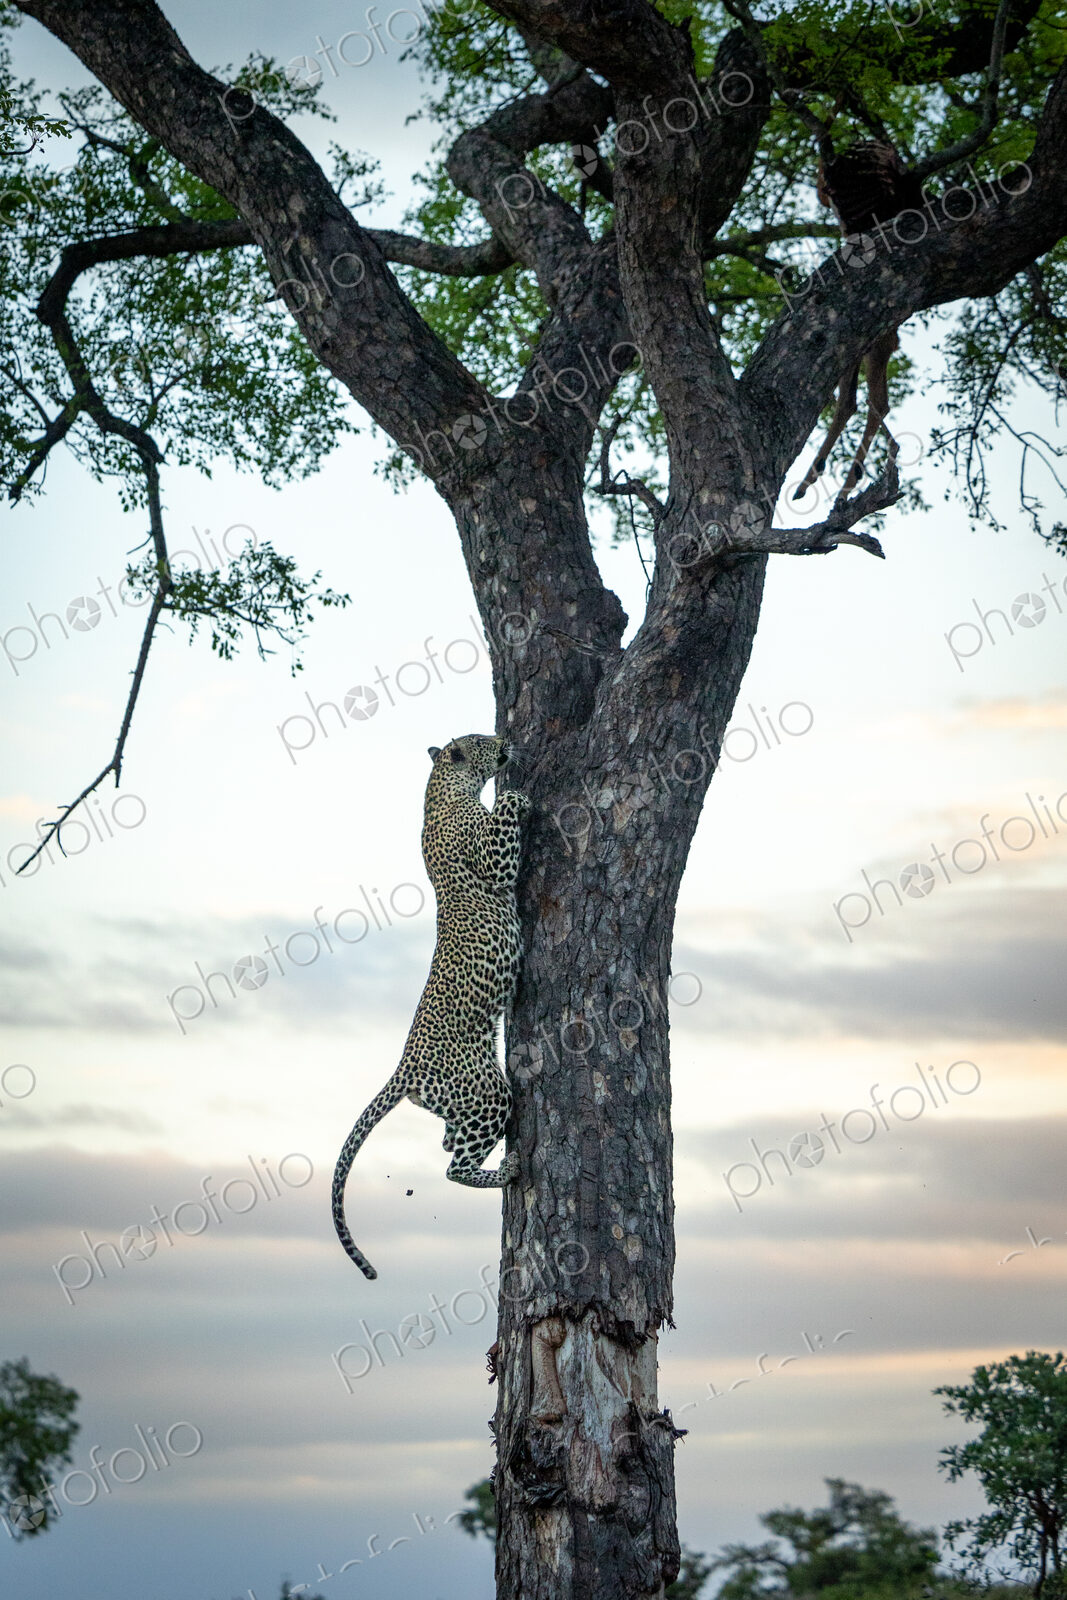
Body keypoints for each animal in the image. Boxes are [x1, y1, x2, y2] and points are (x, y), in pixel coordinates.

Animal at [332, 732, 531, 1278]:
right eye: (482, 740)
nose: (506, 739)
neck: (443, 790)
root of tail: (407, 1065)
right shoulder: (491, 857)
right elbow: (503, 829)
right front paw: (518, 795)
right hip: (488, 1091)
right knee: (452, 1167)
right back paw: (509, 1168)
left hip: (460, 1101)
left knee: (446, 1144)